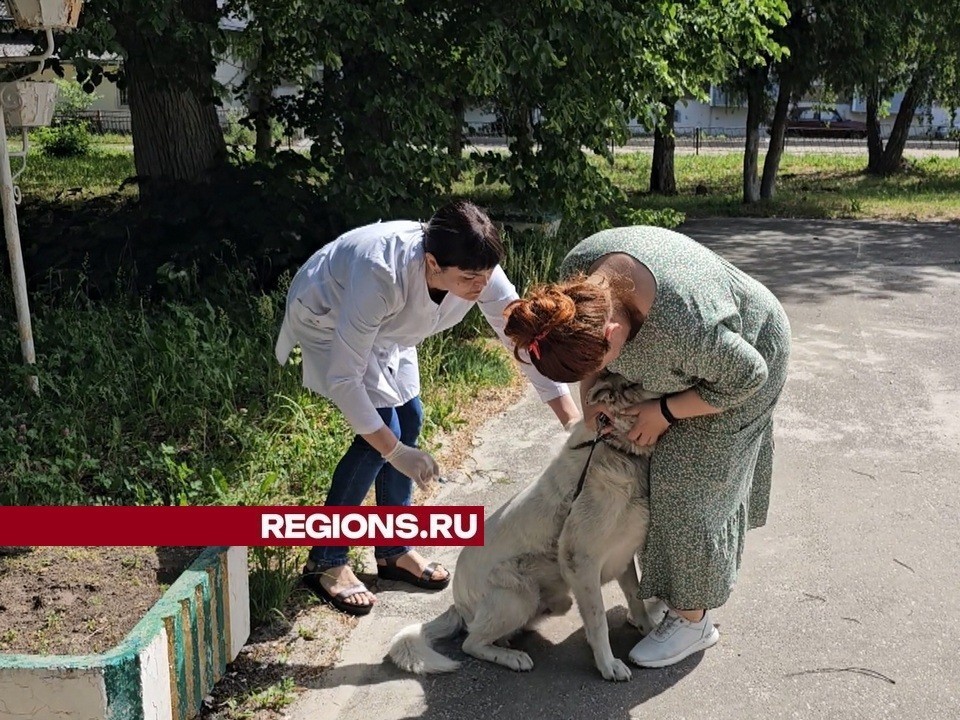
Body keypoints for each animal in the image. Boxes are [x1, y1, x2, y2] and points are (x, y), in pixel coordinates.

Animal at [386, 374, 664, 684]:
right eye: (637, 384)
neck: (617, 448)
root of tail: (458, 605)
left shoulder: (622, 556)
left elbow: (636, 598)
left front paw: (648, 629)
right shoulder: (580, 562)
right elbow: (598, 621)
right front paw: (608, 664)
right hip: (519, 595)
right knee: (471, 642)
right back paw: (511, 656)